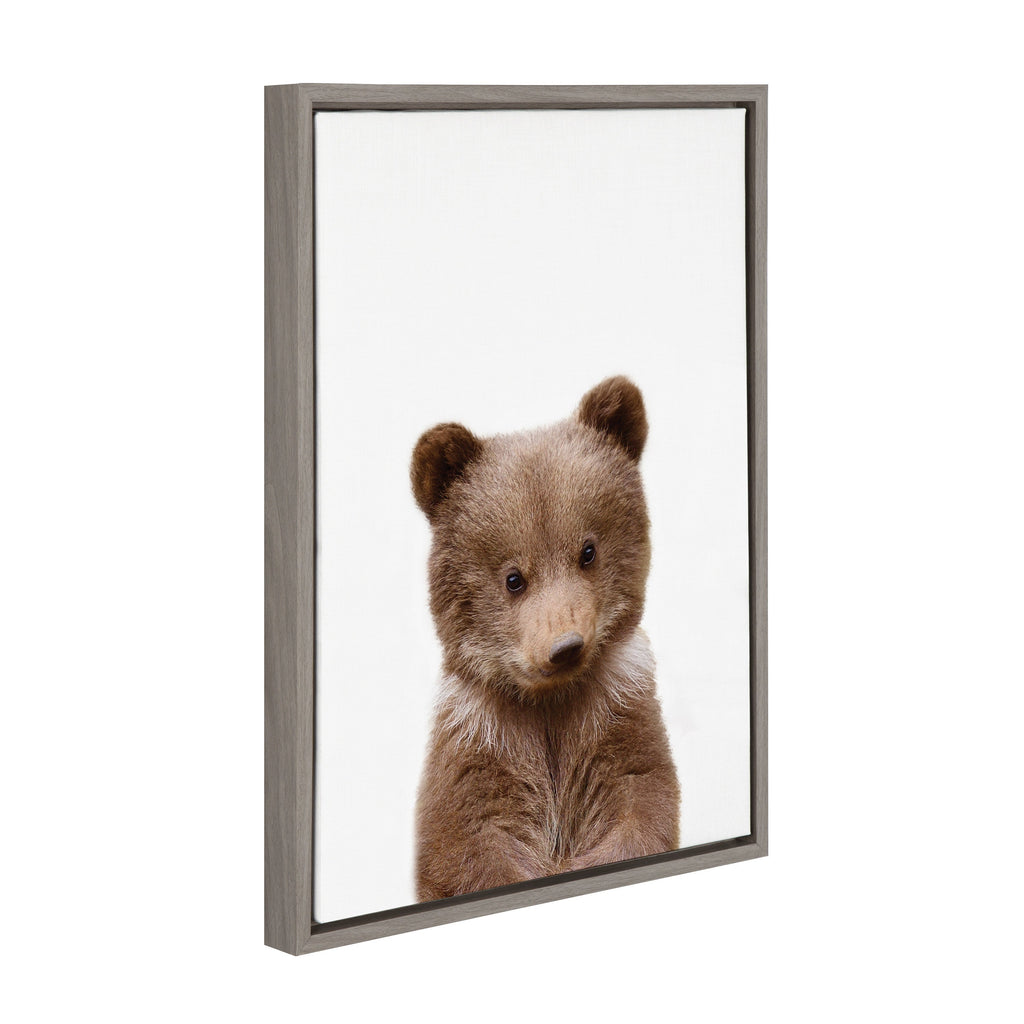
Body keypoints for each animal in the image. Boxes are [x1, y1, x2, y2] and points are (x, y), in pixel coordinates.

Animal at [410, 376, 680, 902]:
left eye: (588, 551)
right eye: (513, 578)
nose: (565, 646)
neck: (549, 702)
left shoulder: (617, 713)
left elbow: (641, 803)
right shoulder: (480, 742)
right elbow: (467, 845)